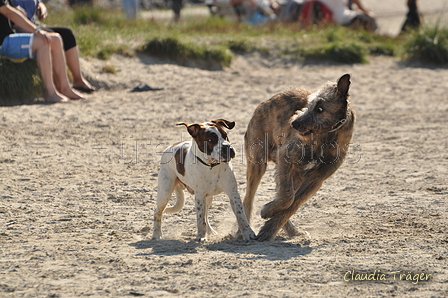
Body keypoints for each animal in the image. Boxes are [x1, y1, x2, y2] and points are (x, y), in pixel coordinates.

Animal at [243, 73, 356, 241]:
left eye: (320, 108)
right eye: (309, 104)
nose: (294, 123)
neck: (327, 136)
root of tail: (264, 103)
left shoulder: (316, 178)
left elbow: (293, 203)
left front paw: (269, 228)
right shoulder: (286, 156)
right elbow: (287, 198)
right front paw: (267, 211)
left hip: (294, 174)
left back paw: (291, 230)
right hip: (258, 163)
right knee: (248, 199)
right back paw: (241, 230)